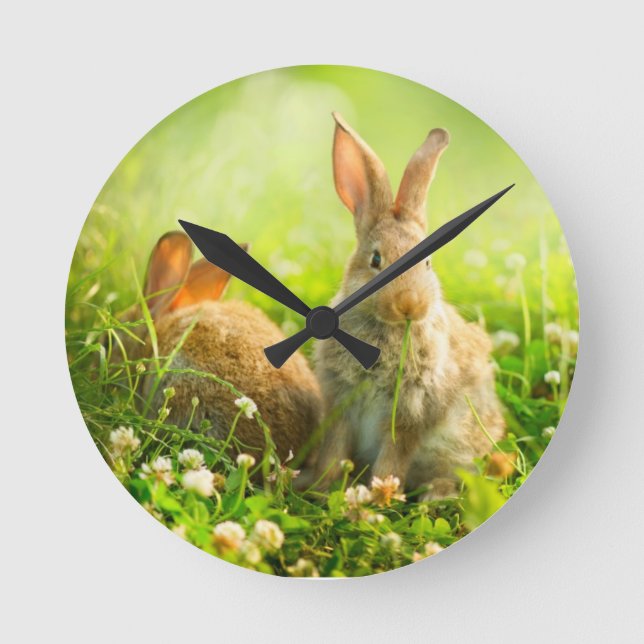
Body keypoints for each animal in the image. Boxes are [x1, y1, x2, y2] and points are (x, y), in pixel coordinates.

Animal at [312, 113, 505, 500]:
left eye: (428, 263)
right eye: (376, 260)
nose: (410, 304)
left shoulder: (410, 414)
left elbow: (392, 460)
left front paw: (378, 499)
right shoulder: (340, 401)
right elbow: (334, 450)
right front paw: (323, 488)